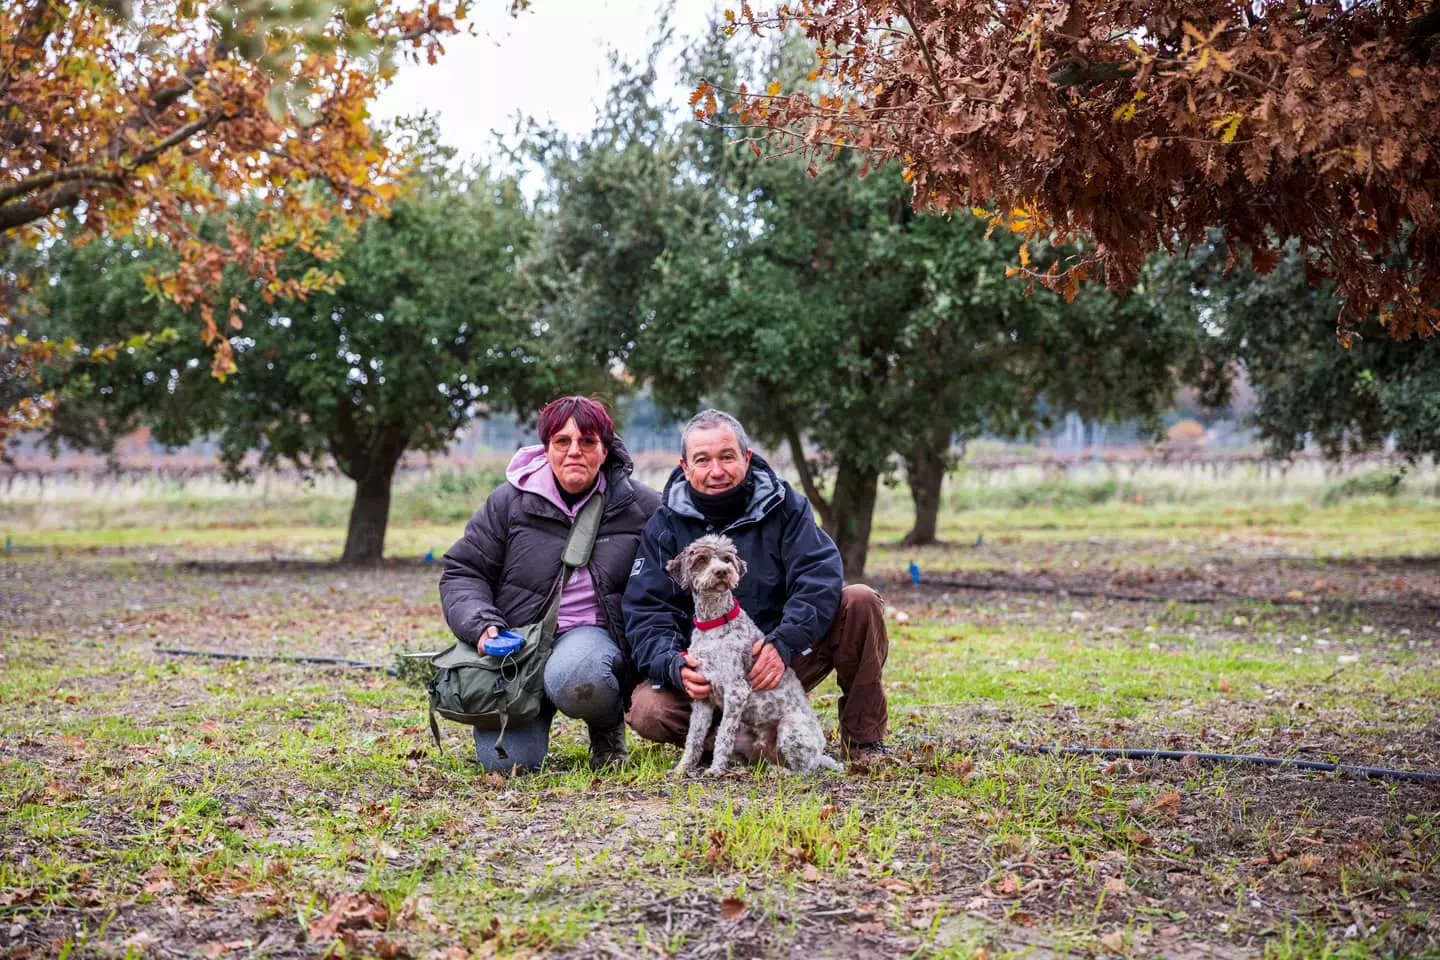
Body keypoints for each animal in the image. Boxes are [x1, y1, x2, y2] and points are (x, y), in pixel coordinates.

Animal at [662, 538, 840, 777]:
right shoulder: (702, 696)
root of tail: (820, 753)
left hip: (790, 726)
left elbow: (723, 737)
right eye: (701, 559)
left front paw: (715, 769)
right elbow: (694, 737)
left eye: (727, 559)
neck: (714, 625)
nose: (722, 571)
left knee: (803, 769)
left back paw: (781, 773)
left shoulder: (736, 692)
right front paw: (682, 768)